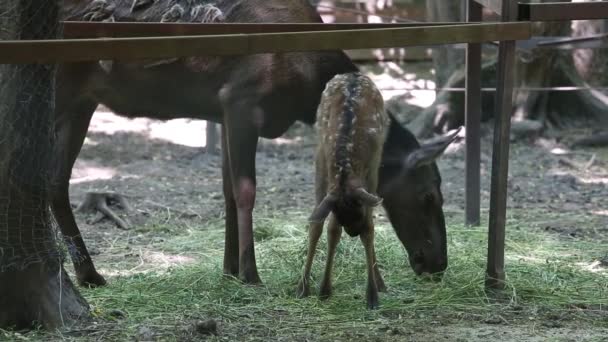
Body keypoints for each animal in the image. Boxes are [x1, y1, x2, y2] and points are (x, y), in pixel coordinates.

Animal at [298, 73, 390, 310]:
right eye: (341, 214)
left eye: (357, 212)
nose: (353, 233)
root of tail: (353, 74)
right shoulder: (322, 158)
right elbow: (325, 227)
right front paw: (317, 288)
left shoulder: (373, 166)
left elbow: (369, 228)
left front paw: (372, 295)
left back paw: (380, 283)